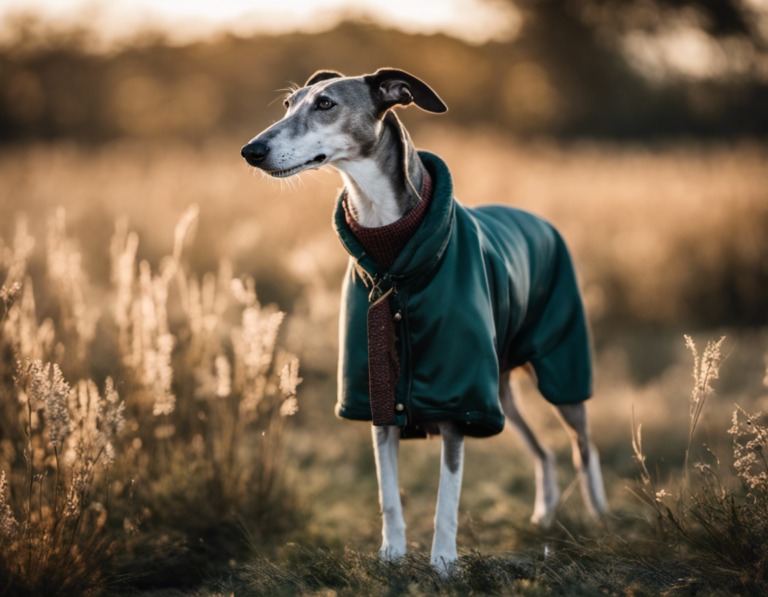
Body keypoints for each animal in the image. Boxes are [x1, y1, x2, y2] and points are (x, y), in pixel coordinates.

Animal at [242, 68, 608, 572]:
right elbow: (388, 496)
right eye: (288, 104)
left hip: (557, 373)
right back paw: (543, 516)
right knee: (545, 451)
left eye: (326, 103)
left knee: (583, 446)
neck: (391, 247)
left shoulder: (459, 407)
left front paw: (443, 565)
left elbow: (446, 500)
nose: (251, 151)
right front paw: (391, 558)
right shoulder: (377, 397)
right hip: (498, 394)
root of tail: (539, 219)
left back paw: (599, 517)